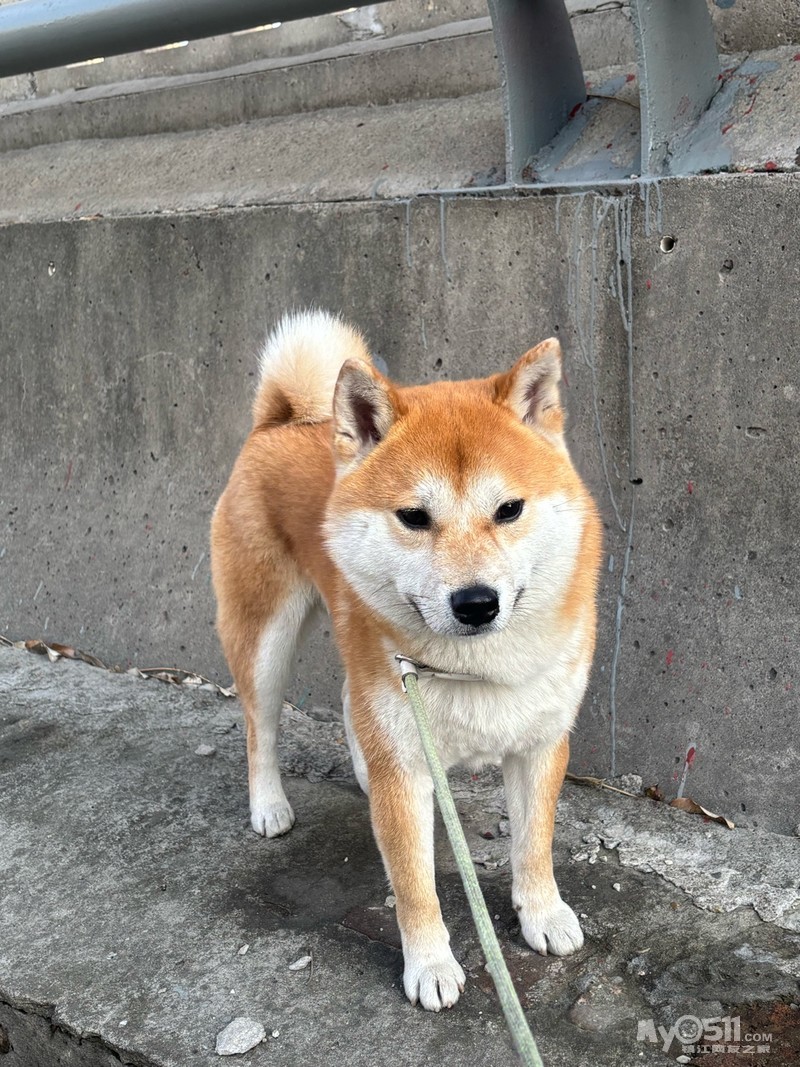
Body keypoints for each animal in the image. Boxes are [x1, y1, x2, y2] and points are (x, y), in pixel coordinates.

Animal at [210, 310, 601, 1012]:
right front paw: (431, 965)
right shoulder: (405, 763)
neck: (475, 666)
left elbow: (534, 844)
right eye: (414, 517)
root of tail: (280, 421)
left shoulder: (539, 743)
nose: (476, 602)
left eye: (509, 509)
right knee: (260, 726)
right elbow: (415, 884)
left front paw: (542, 913)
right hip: (266, 638)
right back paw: (268, 804)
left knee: (347, 698)